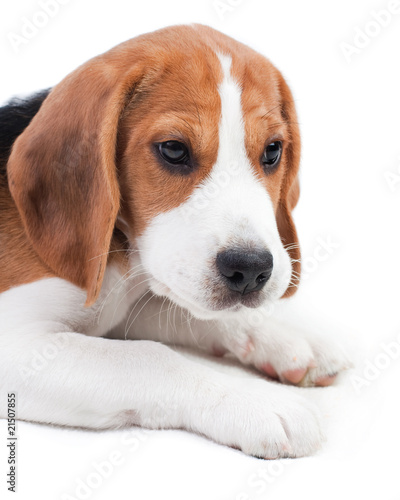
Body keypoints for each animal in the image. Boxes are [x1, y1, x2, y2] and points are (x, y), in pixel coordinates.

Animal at [0, 25, 350, 458]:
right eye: (173, 149)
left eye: (272, 151)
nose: (251, 270)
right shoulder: (16, 344)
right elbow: (150, 358)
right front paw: (255, 400)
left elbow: (191, 314)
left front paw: (284, 334)